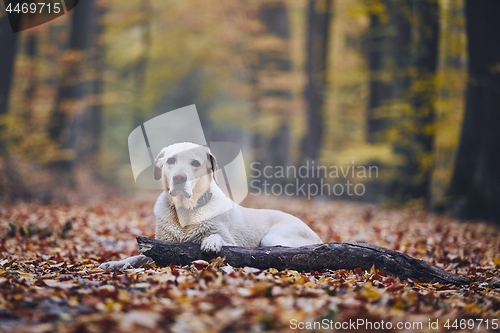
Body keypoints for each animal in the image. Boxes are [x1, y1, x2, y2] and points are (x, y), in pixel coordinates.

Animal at [99, 141, 322, 270]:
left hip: (272, 238)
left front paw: (211, 241)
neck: (186, 212)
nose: (179, 178)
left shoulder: (231, 241)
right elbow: (138, 256)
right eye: (170, 160)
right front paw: (114, 264)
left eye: (195, 163)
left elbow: (216, 237)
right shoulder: (160, 244)